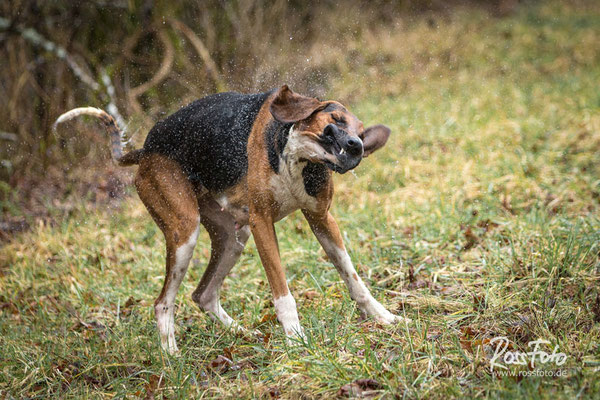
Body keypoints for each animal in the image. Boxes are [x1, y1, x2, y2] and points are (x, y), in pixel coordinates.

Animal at [56, 85, 408, 354]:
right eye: (334, 120)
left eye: (360, 134)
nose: (356, 146)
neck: (298, 161)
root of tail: (145, 150)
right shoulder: (262, 224)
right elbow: (283, 295)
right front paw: (296, 340)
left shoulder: (321, 219)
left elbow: (353, 278)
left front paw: (383, 317)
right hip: (185, 233)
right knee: (162, 303)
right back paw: (171, 357)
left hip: (233, 239)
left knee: (203, 295)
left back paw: (243, 334)